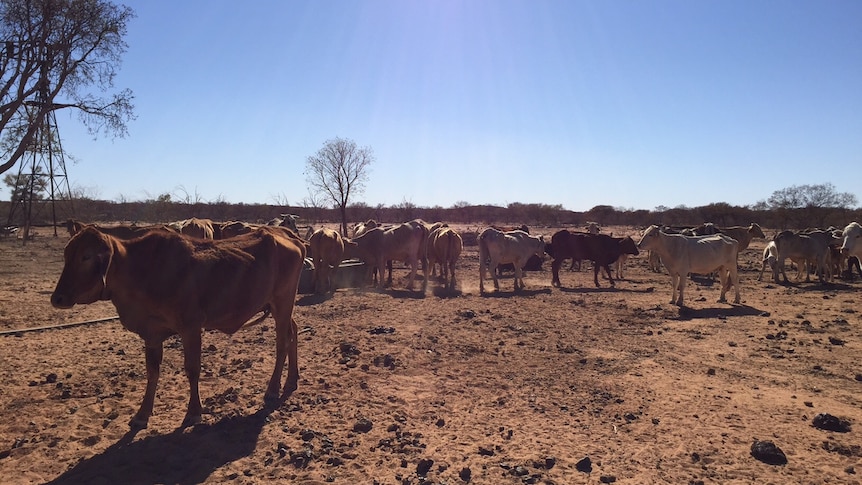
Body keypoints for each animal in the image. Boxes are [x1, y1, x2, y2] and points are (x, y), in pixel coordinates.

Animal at [49, 226, 308, 428]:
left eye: (86, 257)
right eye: (67, 255)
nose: (57, 298)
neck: (141, 271)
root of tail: (288, 237)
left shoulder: (191, 328)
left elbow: (192, 369)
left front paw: (193, 412)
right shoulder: (152, 334)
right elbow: (152, 372)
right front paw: (142, 414)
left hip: (282, 302)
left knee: (282, 342)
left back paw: (272, 389)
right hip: (279, 307)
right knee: (293, 332)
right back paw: (292, 378)